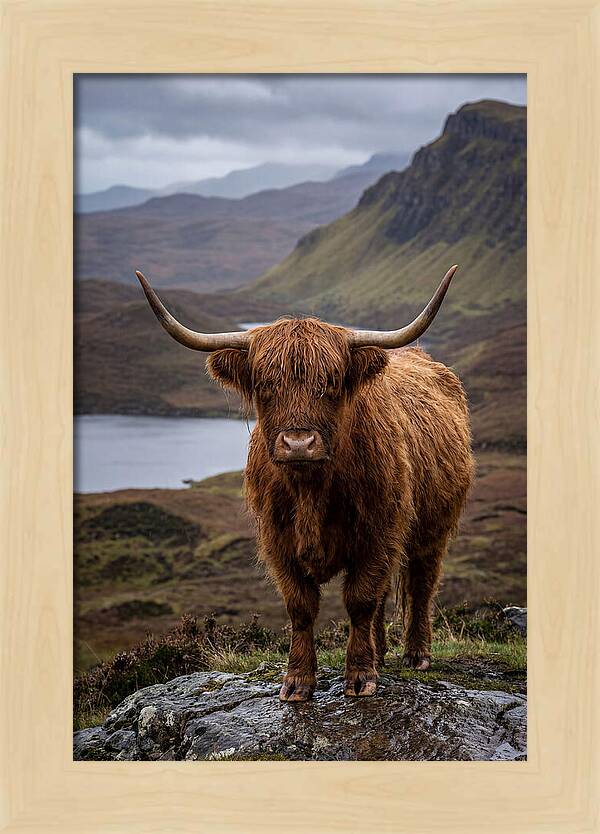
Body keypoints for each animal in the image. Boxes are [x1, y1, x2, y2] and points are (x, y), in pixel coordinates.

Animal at [136, 266, 474, 702]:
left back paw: (416, 654)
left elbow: (360, 599)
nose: (298, 443)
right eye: (265, 384)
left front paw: (360, 676)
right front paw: (298, 680)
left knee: (421, 584)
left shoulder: (378, 533)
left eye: (331, 382)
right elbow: (301, 606)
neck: (311, 489)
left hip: (433, 528)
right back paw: (382, 652)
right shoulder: (278, 541)